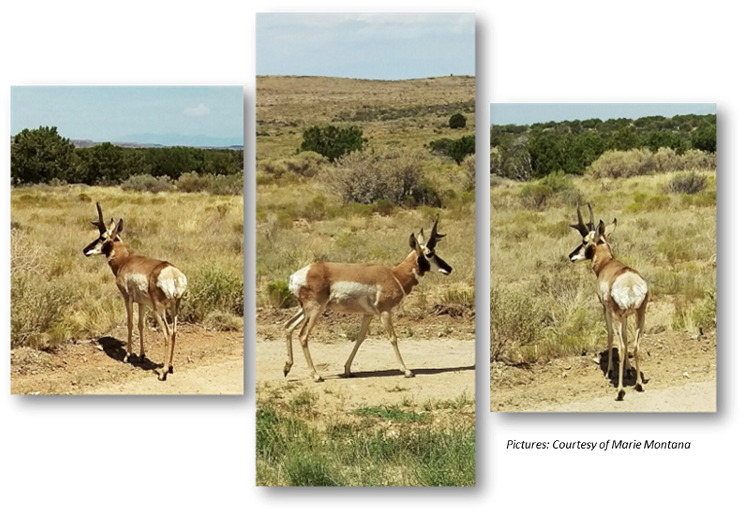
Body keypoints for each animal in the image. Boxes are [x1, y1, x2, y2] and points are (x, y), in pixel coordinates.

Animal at [83, 203, 188, 381]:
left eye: (102, 237)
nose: (85, 250)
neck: (125, 260)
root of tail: (172, 272)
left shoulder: (127, 298)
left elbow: (130, 323)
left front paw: (128, 356)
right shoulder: (141, 303)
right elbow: (140, 325)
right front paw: (141, 356)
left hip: (159, 310)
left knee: (167, 333)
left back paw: (163, 372)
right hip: (175, 308)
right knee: (174, 331)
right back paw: (171, 367)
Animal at [283, 215, 453, 382]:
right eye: (429, 253)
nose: (449, 268)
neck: (395, 275)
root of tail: (298, 275)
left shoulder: (368, 314)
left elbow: (360, 338)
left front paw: (347, 370)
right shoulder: (385, 312)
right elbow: (393, 337)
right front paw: (407, 371)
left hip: (305, 310)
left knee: (288, 326)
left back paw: (287, 368)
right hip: (316, 310)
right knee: (303, 335)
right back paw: (316, 375)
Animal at [569, 203, 649, 401]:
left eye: (584, 241)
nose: (570, 256)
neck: (608, 263)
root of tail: (629, 282)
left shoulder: (605, 309)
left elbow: (611, 335)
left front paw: (610, 371)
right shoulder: (626, 316)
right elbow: (627, 337)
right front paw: (628, 370)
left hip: (617, 315)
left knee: (620, 347)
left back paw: (619, 391)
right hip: (639, 315)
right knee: (635, 345)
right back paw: (638, 384)